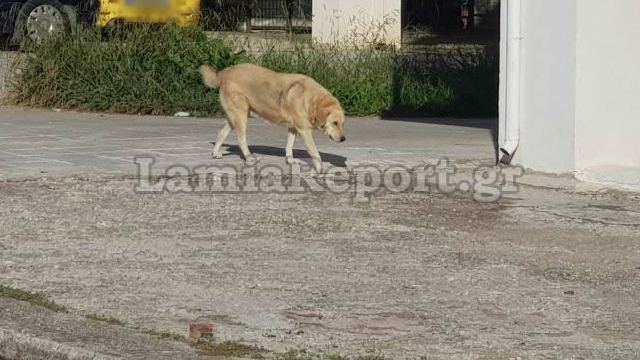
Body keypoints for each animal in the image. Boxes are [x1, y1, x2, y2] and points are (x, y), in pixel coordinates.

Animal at [199, 63, 344, 173]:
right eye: (335, 123)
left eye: (342, 123)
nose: (343, 139)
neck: (311, 100)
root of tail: (225, 72)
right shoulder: (305, 131)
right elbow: (315, 152)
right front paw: (320, 169)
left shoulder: (293, 128)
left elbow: (289, 146)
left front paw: (290, 160)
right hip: (241, 116)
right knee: (241, 140)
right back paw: (249, 158)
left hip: (235, 116)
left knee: (221, 133)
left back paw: (215, 153)